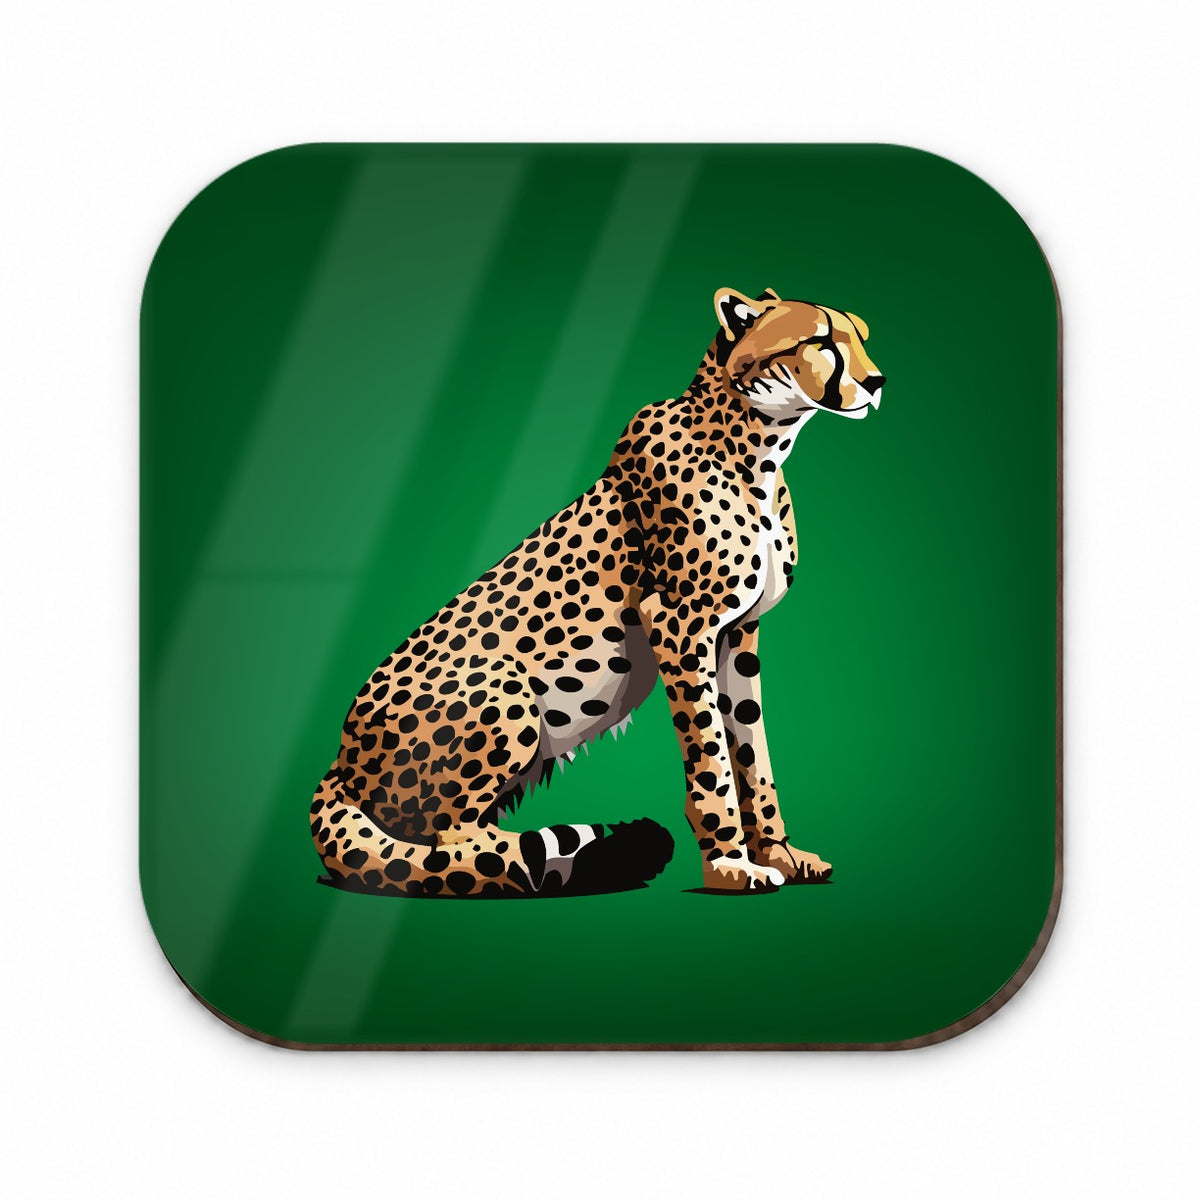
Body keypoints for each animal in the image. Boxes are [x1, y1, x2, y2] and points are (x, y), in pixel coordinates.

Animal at [309, 287, 885, 897]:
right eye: (821, 340)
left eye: (860, 335)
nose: (877, 382)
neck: (758, 444)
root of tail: (339, 762)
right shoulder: (678, 624)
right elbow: (712, 758)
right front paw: (730, 864)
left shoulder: (740, 632)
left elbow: (752, 750)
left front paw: (779, 853)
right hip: (508, 693)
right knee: (456, 847)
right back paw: (566, 859)